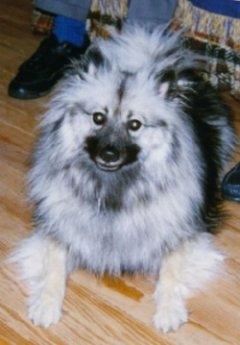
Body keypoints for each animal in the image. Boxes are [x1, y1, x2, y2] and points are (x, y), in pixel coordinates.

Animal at [10, 25, 235, 332]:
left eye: (135, 125)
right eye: (98, 118)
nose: (109, 153)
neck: (113, 187)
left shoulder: (183, 236)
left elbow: (171, 271)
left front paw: (168, 310)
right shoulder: (57, 228)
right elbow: (53, 265)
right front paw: (46, 302)